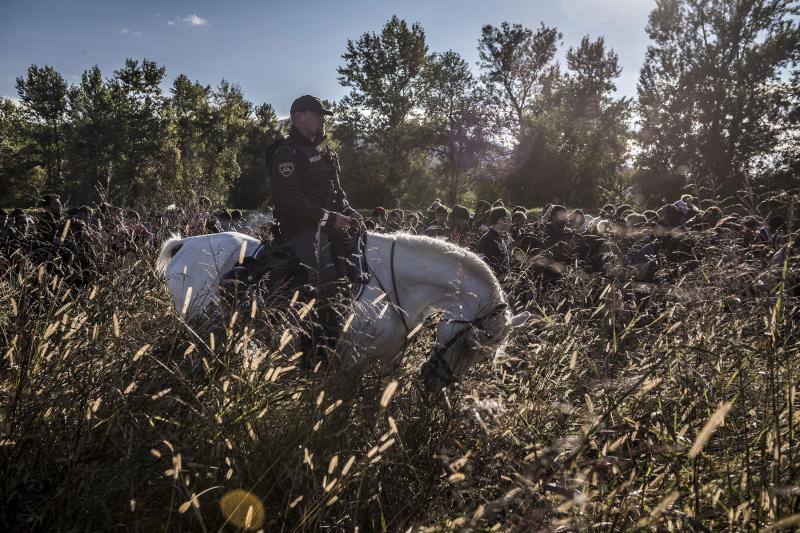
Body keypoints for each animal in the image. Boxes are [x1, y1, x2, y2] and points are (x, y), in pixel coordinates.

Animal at [156, 232, 532, 390]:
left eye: (485, 357)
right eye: (472, 345)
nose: (436, 387)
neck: (395, 287)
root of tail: (186, 243)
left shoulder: (389, 362)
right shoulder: (350, 364)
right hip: (200, 325)